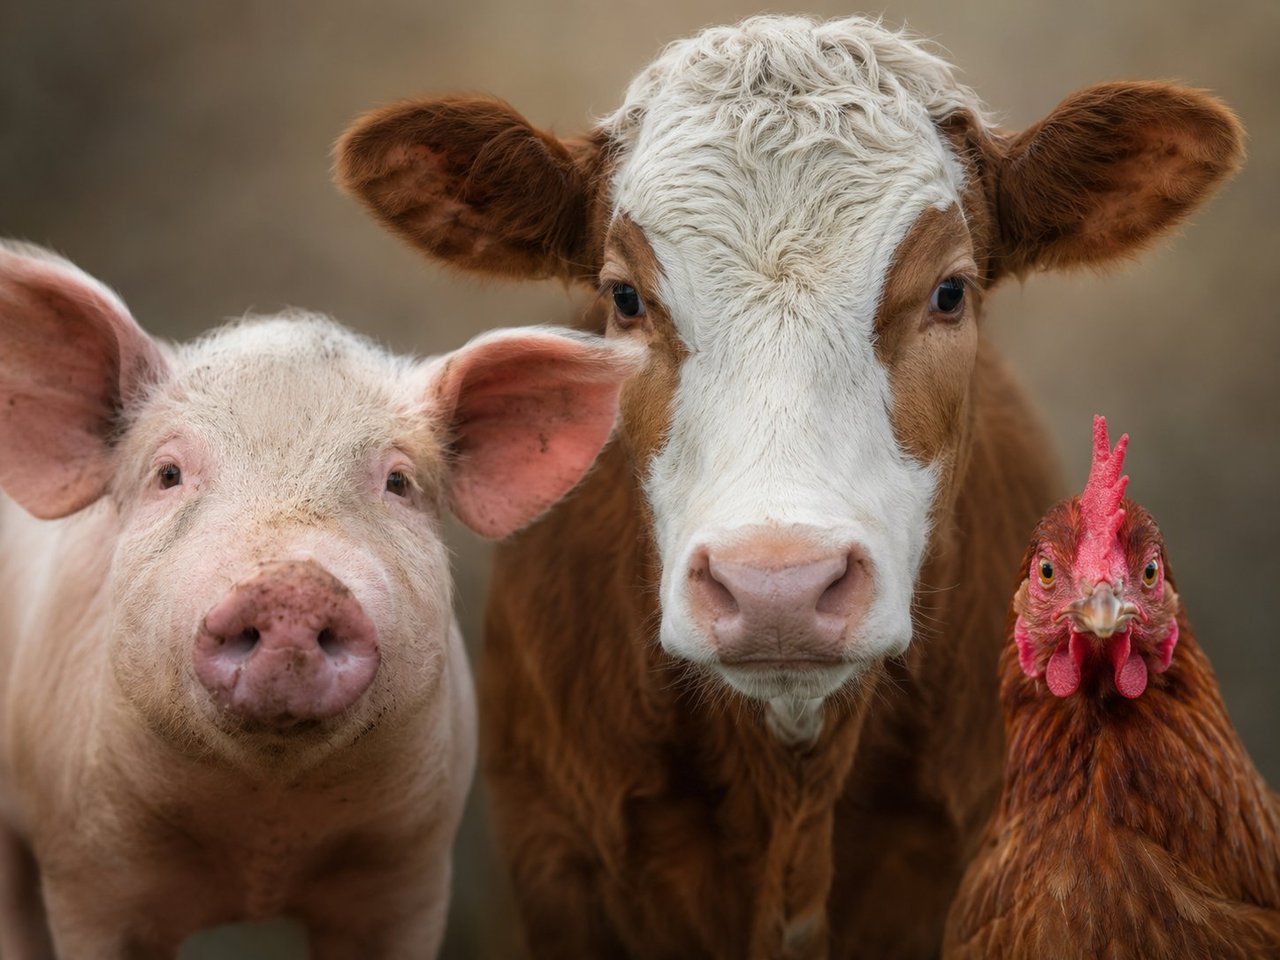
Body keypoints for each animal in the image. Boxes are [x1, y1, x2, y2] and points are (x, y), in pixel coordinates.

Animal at [0, 240, 640, 958]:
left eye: (399, 482)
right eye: (167, 474)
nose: (291, 588)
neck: (266, 839)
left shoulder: (410, 874)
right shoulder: (90, 877)